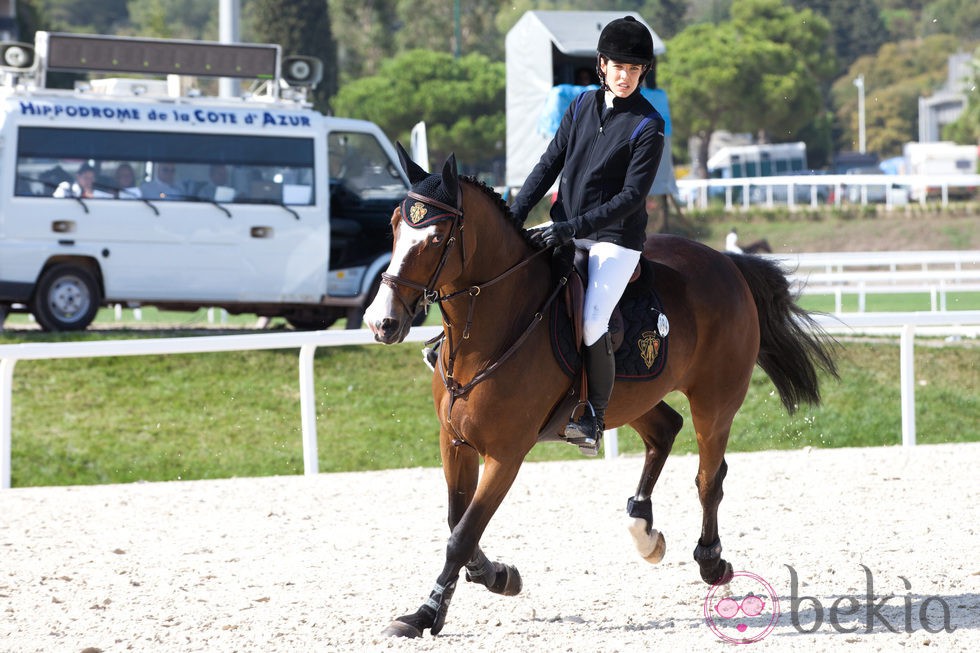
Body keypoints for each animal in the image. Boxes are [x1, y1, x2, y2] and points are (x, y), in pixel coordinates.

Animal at [364, 149, 840, 636]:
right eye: (395, 225)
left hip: (715, 401)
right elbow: (457, 524)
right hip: (627, 400)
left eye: (436, 237)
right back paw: (643, 529)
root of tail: (727, 263)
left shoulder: (506, 455)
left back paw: (711, 562)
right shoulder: (454, 442)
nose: (382, 323)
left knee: (709, 477)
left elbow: (461, 536)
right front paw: (493, 578)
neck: (489, 331)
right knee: (665, 430)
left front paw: (427, 612)